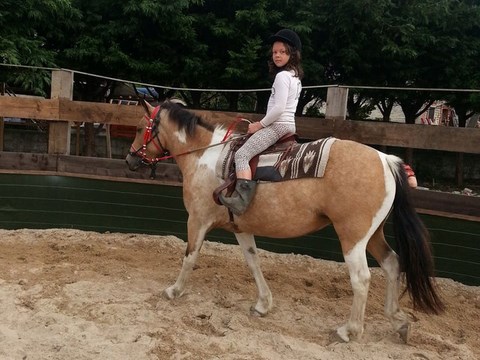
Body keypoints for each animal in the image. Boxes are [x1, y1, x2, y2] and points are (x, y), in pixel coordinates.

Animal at [125, 100, 444, 342]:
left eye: (140, 127)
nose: (129, 160)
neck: (205, 156)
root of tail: (385, 159)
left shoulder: (198, 220)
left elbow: (190, 257)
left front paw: (174, 290)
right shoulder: (241, 227)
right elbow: (253, 261)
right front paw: (263, 304)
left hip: (353, 238)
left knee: (362, 279)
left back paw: (348, 330)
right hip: (373, 234)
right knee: (392, 264)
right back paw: (398, 321)